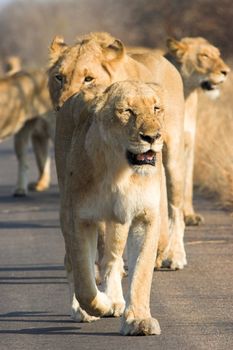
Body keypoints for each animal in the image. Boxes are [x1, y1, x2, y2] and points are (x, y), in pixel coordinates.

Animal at [48, 32, 187, 274]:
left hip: (173, 160)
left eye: (88, 78)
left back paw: (174, 256)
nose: (63, 108)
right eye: (59, 77)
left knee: (175, 209)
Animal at [166, 37, 229, 226]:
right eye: (204, 55)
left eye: (218, 54)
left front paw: (189, 215)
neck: (186, 95)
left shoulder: (188, 143)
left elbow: (187, 181)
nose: (226, 72)